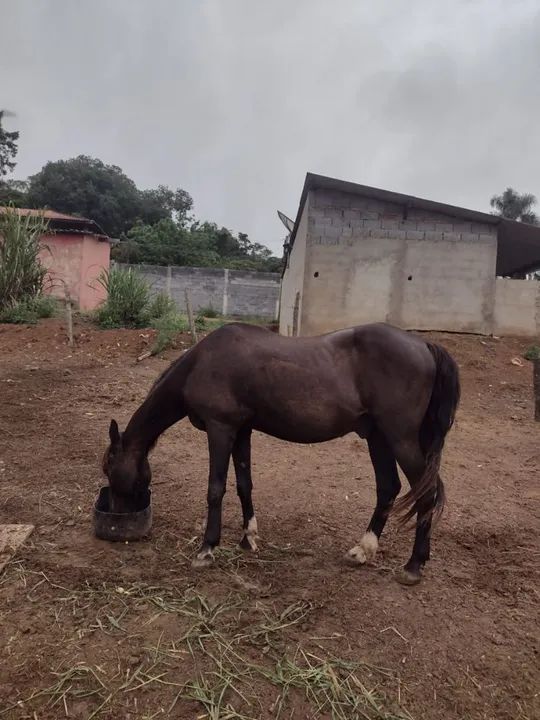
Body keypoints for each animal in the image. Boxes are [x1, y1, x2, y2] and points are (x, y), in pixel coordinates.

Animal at [102, 321, 460, 585]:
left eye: (108, 467)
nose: (118, 523)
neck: (203, 362)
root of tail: (424, 346)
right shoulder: (241, 431)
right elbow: (243, 484)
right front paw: (248, 539)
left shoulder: (220, 429)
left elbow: (215, 488)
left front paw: (207, 549)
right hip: (378, 438)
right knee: (388, 488)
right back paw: (363, 550)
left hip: (399, 439)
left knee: (425, 493)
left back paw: (413, 566)